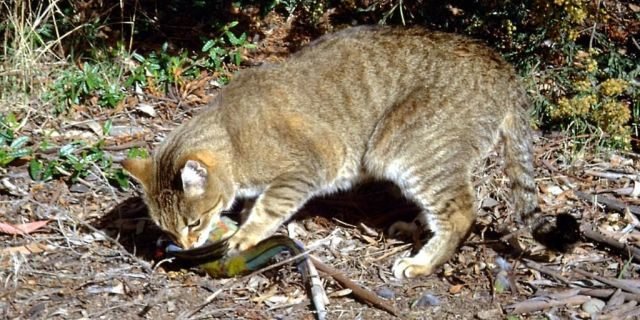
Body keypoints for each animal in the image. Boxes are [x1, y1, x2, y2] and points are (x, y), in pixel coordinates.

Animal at [122, 26, 536, 278]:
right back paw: (416, 225)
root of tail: (504, 68)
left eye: (192, 223)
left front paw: (245, 235)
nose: (186, 244)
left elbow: (269, 206)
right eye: (168, 228)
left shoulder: (310, 165)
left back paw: (421, 263)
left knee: (462, 211)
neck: (232, 137)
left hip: (407, 150)